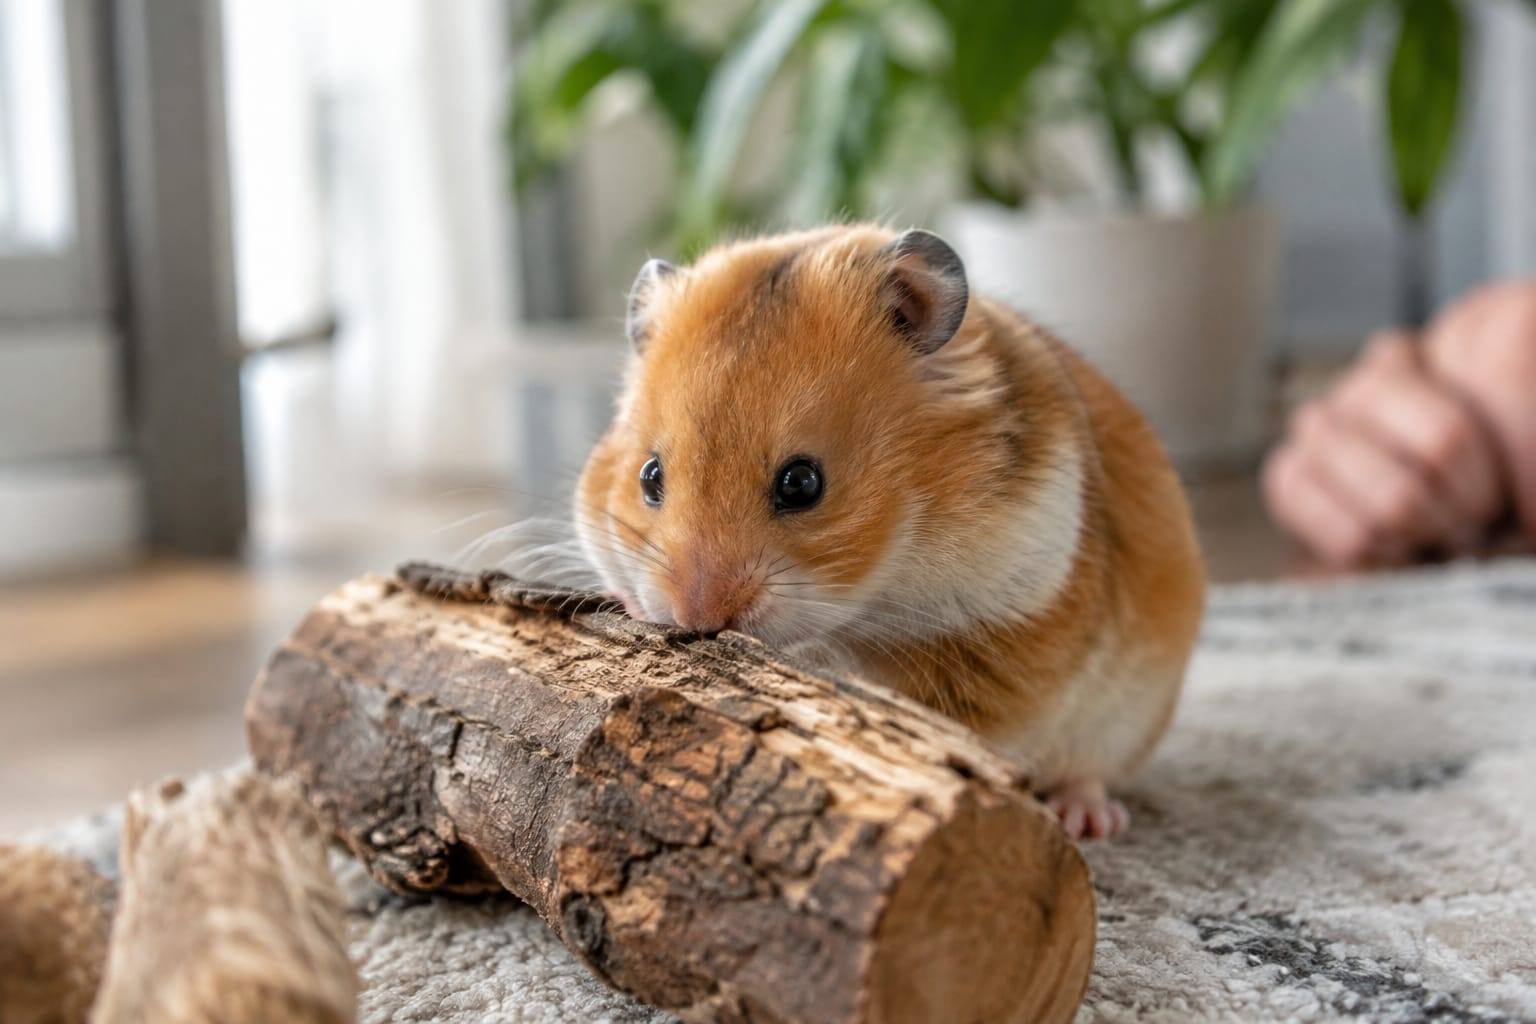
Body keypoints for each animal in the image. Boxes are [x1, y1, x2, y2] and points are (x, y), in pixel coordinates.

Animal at [575, 224, 1206, 839]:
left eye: (802, 483)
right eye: (649, 477)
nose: (698, 618)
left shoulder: (1010, 634)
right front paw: (625, 602)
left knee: (1090, 772)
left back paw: (1087, 820)